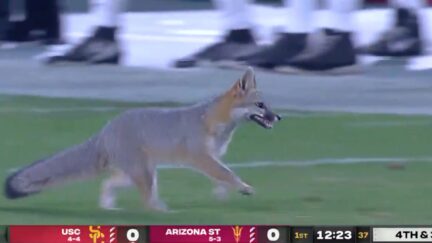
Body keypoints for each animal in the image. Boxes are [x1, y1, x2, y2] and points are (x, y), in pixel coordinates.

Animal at [5, 67, 282, 211]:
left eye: (268, 105)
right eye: (260, 106)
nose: (278, 117)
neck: (213, 119)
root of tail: (105, 129)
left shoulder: (212, 159)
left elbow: (221, 179)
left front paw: (224, 196)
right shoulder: (201, 158)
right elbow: (227, 174)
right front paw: (242, 188)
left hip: (138, 174)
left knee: (107, 184)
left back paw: (109, 208)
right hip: (144, 175)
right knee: (147, 201)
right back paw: (164, 214)